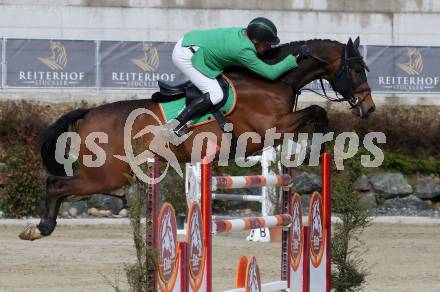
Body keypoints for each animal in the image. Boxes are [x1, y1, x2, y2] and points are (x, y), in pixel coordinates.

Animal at [18, 36, 374, 241]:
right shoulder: (271, 128)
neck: (272, 81)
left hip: (110, 176)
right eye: (357, 71)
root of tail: (89, 113)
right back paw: (40, 227)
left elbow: (316, 112)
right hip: (104, 175)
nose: (369, 108)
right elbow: (317, 111)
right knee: (56, 184)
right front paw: (318, 146)